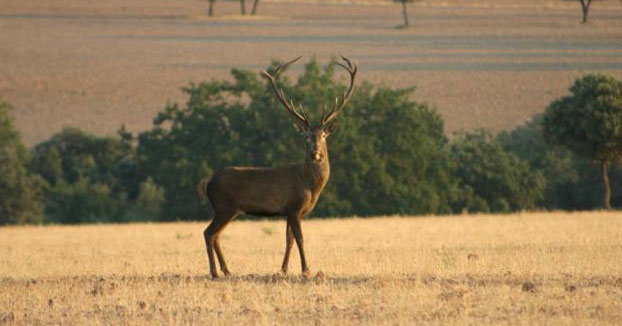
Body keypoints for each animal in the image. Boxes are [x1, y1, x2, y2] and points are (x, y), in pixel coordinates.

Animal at [197, 55, 358, 278]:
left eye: (323, 135)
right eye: (306, 136)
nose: (315, 152)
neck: (310, 185)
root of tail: (207, 181)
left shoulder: (291, 211)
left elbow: (288, 239)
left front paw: (283, 269)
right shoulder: (294, 206)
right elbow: (300, 239)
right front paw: (306, 270)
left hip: (230, 209)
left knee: (215, 235)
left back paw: (227, 270)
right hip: (223, 205)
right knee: (208, 232)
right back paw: (214, 272)